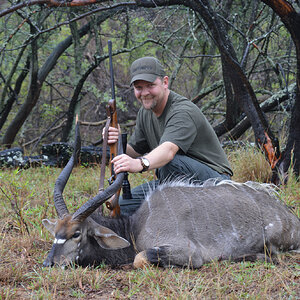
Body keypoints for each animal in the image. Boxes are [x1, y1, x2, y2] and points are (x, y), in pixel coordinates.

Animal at [42, 123, 300, 268]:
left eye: (76, 234)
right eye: (55, 232)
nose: (48, 263)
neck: (135, 227)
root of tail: (289, 216)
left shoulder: (187, 252)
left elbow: (139, 259)